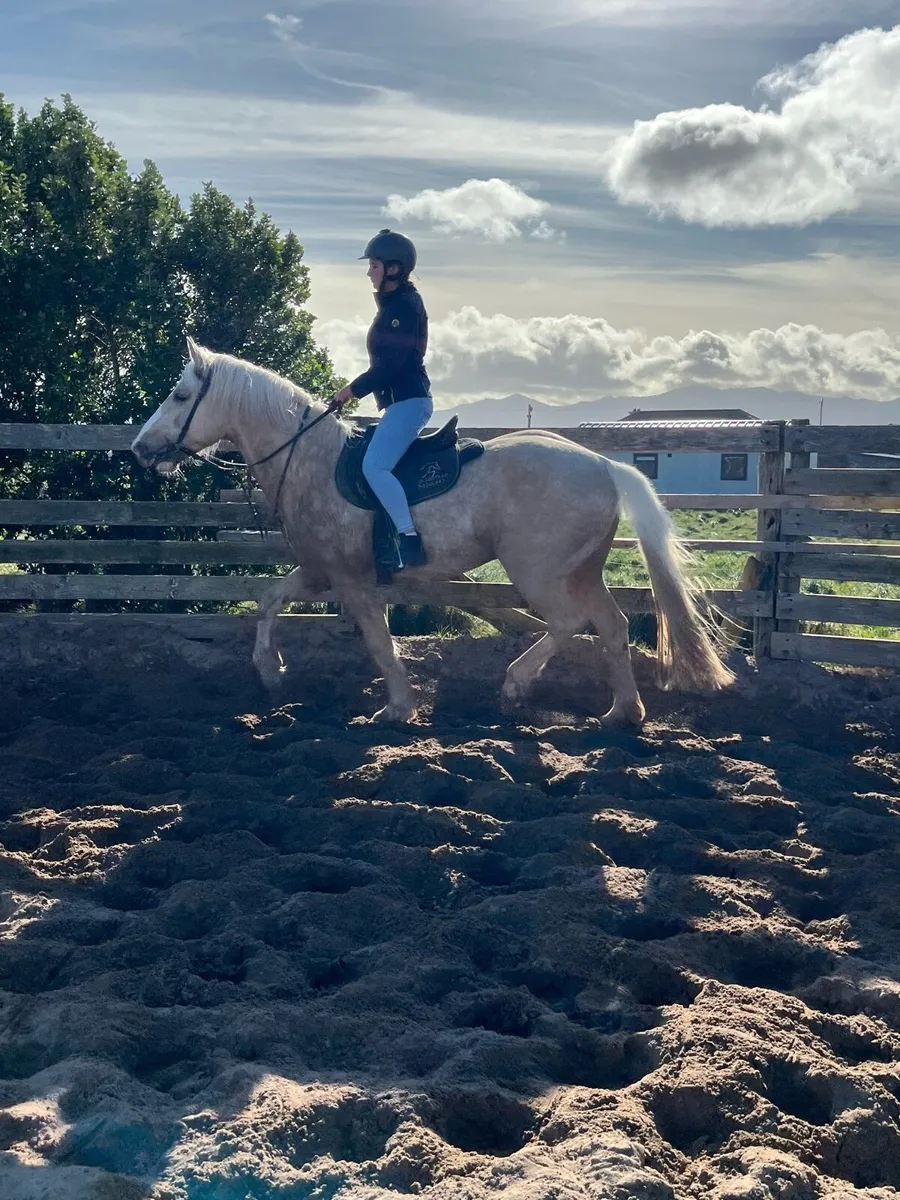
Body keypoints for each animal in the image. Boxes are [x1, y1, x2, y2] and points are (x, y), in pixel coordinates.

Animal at [131, 339, 735, 725]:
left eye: (180, 396)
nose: (140, 449)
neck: (307, 458)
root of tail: (604, 466)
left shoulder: (353, 582)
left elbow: (378, 640)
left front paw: (397, 706)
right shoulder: (318, 572)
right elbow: (267, 599)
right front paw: (271, 671)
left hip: (539, 574)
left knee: (570, 622)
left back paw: (518, 682)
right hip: (582, 572)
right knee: (611, 626)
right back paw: (621, 714)